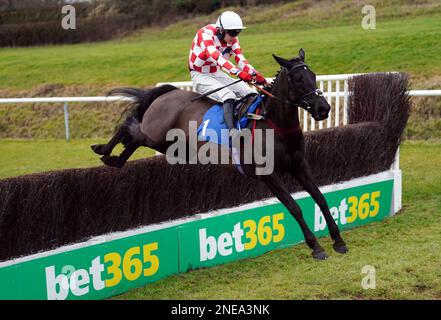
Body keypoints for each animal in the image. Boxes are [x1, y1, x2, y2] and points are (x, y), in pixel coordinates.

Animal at [91, 48, 348, 260]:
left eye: (313, 75)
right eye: (297, 79)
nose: (323, 108)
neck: (275, 124)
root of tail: (168, 93)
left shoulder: (299, 165)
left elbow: (320, 198)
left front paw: (338, 240)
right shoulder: (268, 175)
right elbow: (294, 207)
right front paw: (316, 247)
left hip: (169, 144)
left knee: (132, 139)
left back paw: (113, 159)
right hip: (154, 135)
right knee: (129, 126)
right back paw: (103, 149)